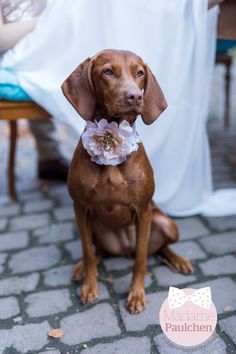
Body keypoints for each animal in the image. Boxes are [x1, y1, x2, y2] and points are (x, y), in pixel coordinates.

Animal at [61, 49, 193, 312]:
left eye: (139, 73)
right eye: (107, 71)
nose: (135, 96)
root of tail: (124, 249)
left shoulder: (143, 210)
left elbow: (141, 258)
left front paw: (136, 294)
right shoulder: (80, 207)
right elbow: (87, 252)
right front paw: (90, 286)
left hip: (165, 223)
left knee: (159, 248)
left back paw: (178, 260)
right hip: (94, 225)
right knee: (98, 251)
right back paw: (81, 269)